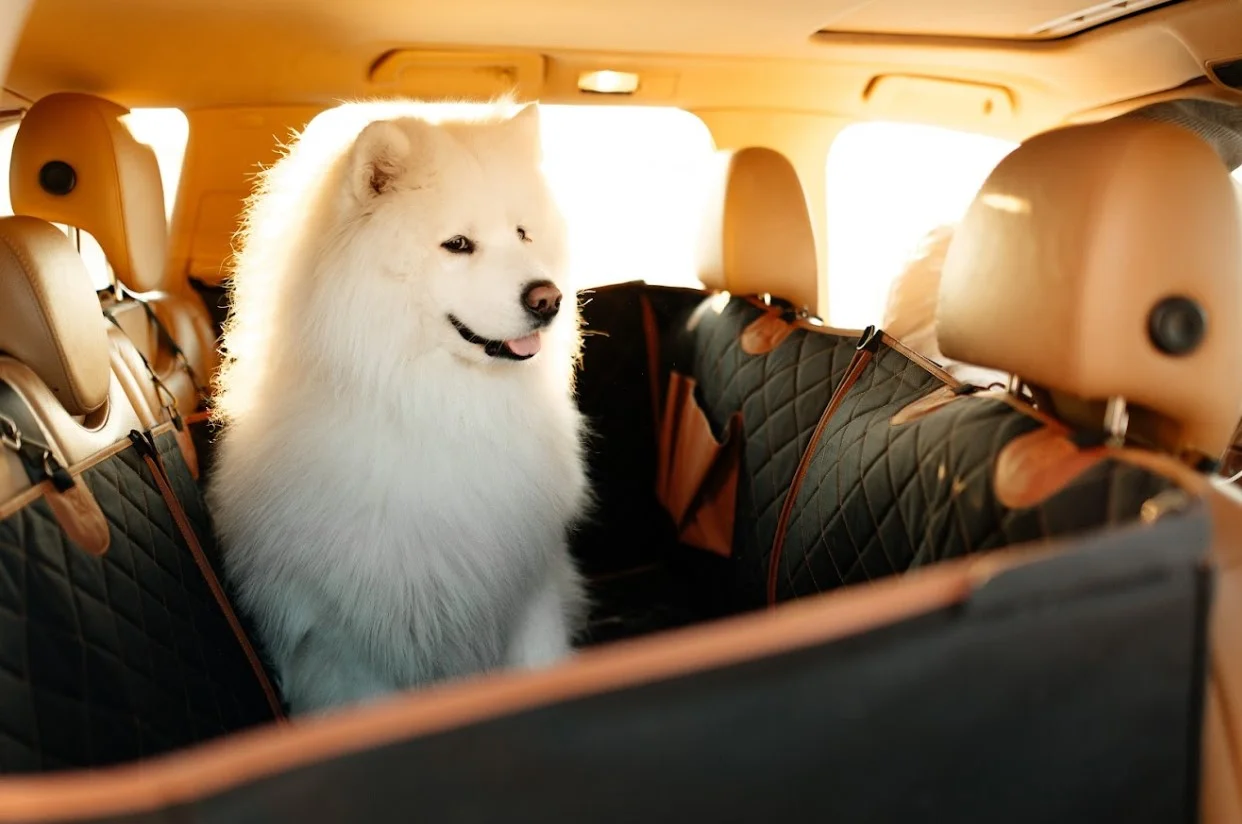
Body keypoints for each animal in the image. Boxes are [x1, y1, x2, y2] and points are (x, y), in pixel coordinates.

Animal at [207, 101, 591, 715]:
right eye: (458, 244)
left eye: (522, 233)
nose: (548, 298)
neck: (442, 409)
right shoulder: (348, 642)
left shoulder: (528, 594)